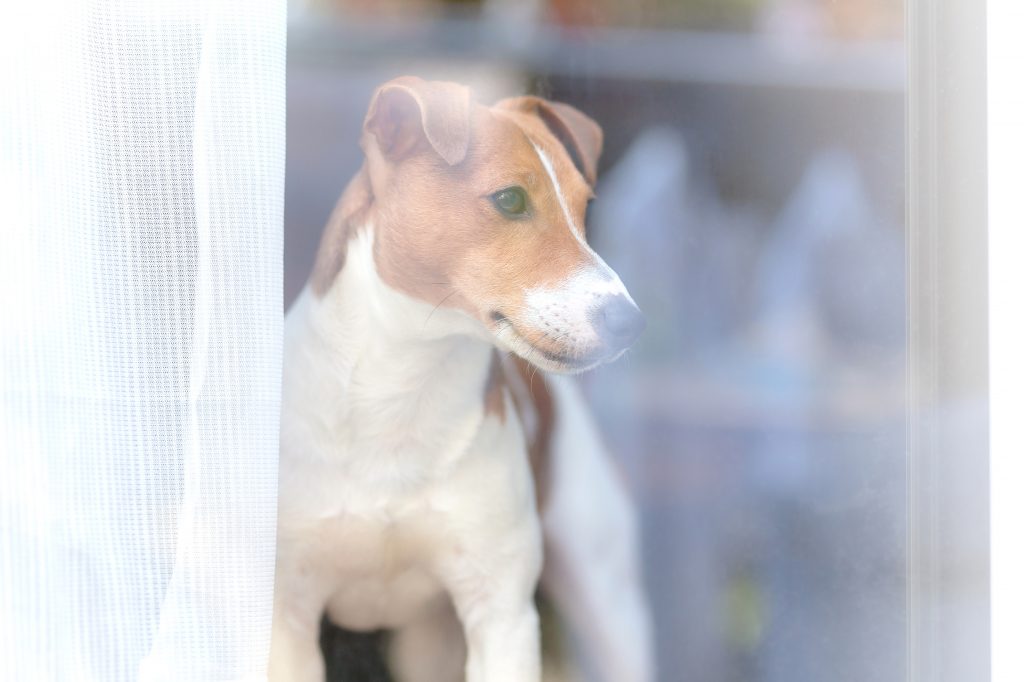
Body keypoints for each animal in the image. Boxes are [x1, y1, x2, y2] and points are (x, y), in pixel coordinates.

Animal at [272, 75, 651, 679]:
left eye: (584, 207)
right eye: (510, 199)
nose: (630, 322)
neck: (402, 388)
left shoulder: (502, 615)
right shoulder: (287, 620)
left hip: (607, 599)